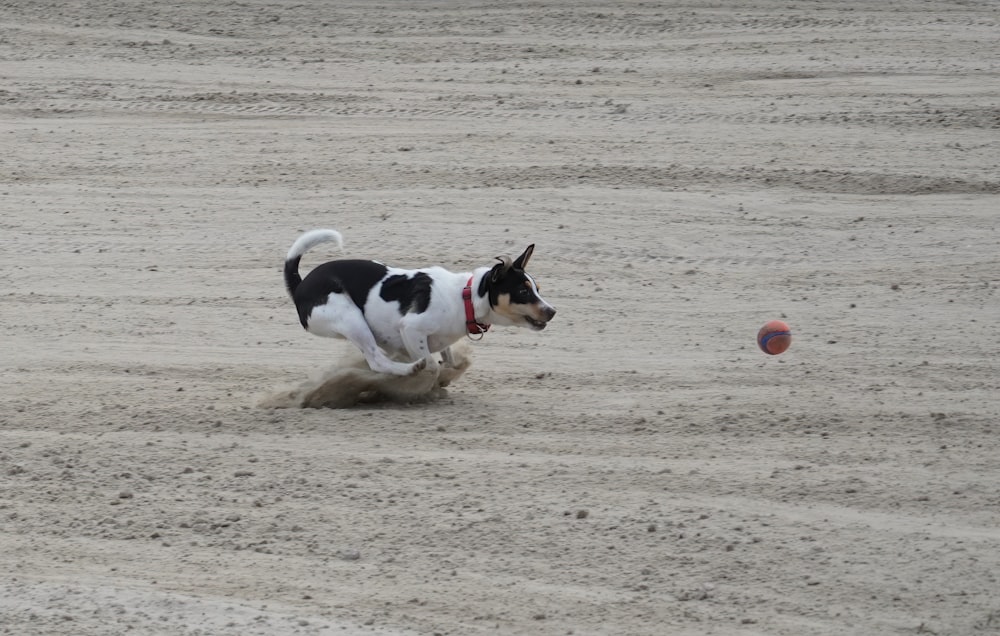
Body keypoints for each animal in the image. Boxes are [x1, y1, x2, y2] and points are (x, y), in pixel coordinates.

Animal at [286, 230, 560, 376]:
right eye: (523, 291)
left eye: (537, 289)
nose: (552, 311)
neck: (465, 298)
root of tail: (300, 284)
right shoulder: (411, 329)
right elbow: (430, 363)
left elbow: (447, 360)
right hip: (351, 318)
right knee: (376, 361)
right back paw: (407, 370)